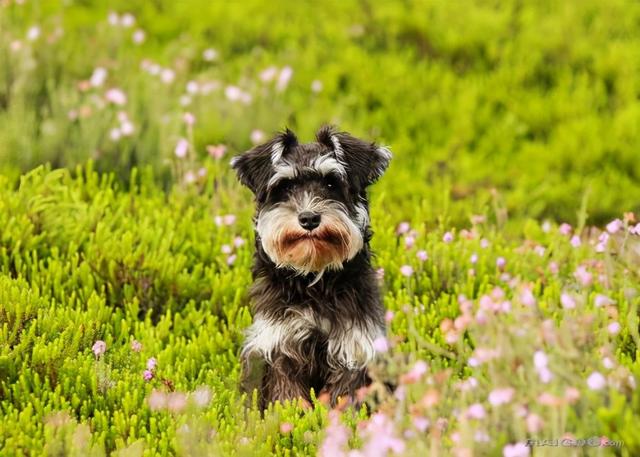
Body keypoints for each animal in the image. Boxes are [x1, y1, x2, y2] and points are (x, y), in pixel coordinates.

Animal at [230, 125, 390, 410]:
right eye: (285, 186)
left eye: (331, 183)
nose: (308, 218)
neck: (313, 279)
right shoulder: (279, 348)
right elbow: (287, 398)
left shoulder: (353, 350)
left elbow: (343, 398)